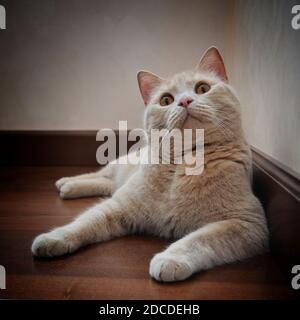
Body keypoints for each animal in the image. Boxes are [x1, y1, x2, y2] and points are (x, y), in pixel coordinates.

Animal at [31, 46, 268, 282]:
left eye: (202, 88)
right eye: (166, 100)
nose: (184, 101)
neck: (184, 160)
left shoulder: (247, 223)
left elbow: (200, 239)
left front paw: (171, 259)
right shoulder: (119, 205)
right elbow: (85, 222)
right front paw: (54, 238)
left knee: (106, 183)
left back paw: (68, 187)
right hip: (118, 167)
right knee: (100, 175)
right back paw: (66, 182)